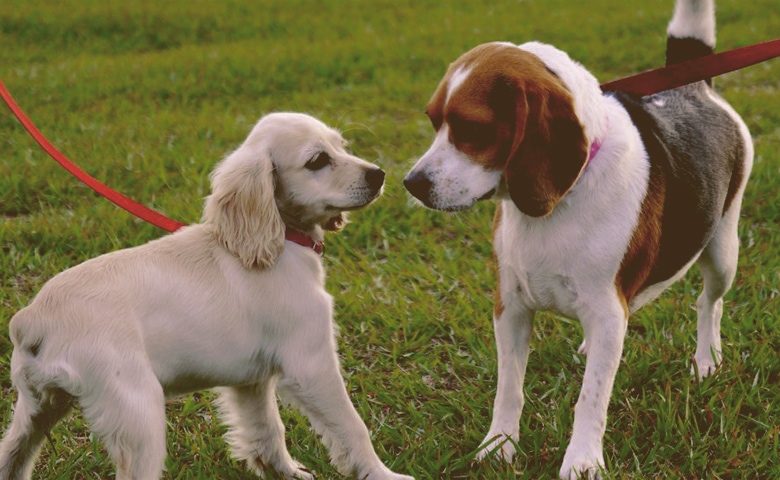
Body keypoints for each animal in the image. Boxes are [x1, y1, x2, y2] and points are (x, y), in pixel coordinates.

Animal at [0, 111, 414, 480]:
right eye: (318, 161)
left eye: (341, 146)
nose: (379, 175)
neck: (281, 241)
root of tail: (32, 318)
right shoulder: (311, 363)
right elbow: (352, 426)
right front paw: (384, 475)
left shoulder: (251, 382)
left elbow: (266, 430)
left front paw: (283, 472)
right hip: (137, 415)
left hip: (36, 411)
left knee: (11, 457)